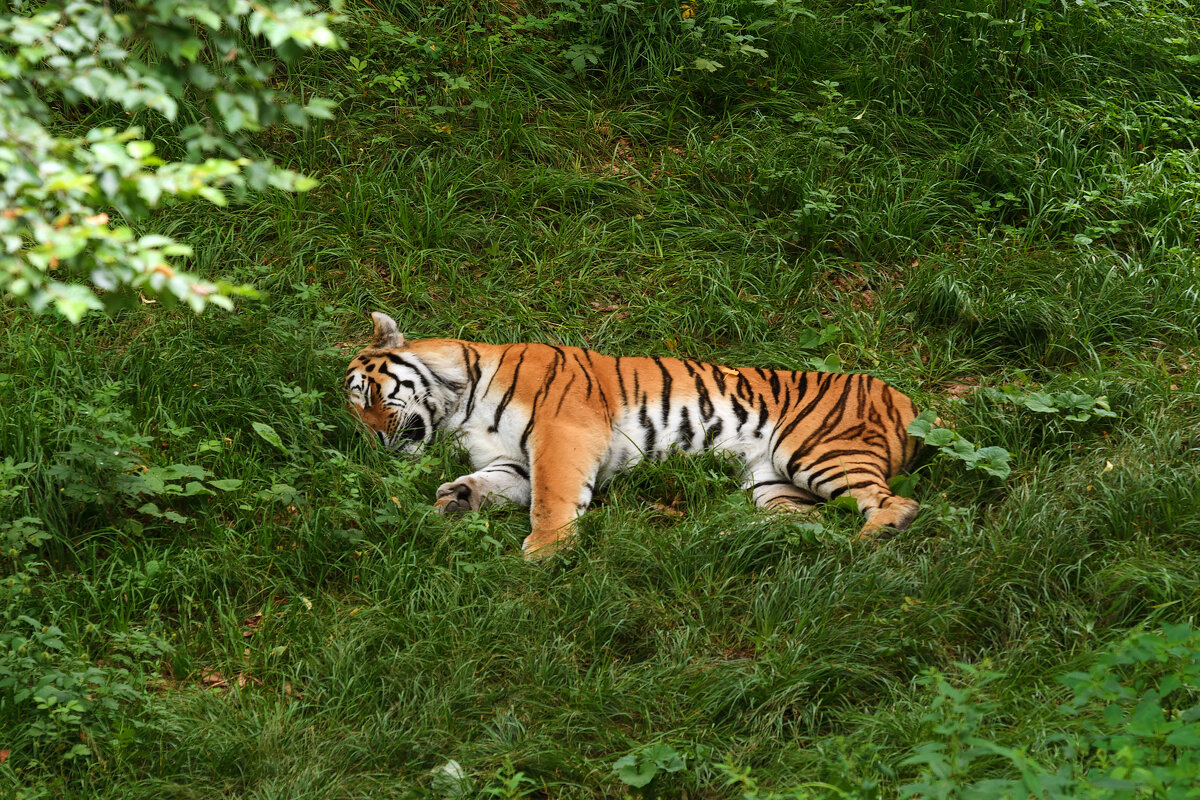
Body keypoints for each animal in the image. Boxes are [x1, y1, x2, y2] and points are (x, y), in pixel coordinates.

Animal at [343, 314, 921, 563]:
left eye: (367, 396)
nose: (376, 445)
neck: (457, 408)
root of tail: (908, 401)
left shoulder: (562, 433)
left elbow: (551, 499)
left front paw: (544, 551)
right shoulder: (513, 460)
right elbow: (495, 482)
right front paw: (458, 498)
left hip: (813, 450)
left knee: (899, 503)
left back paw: (875, 539)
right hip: (771, 483)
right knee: (810, 525)